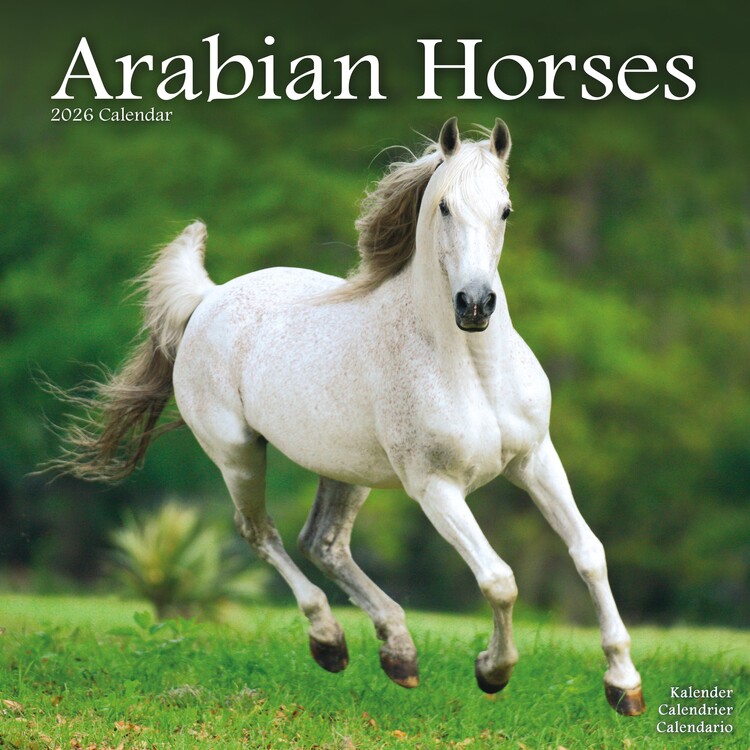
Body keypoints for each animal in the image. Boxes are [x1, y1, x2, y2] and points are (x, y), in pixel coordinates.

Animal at [54, 117, 645, 715]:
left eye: (505, 210)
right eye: (445, 207)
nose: (475, 304)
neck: (473, 371)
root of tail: (209, 297)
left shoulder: (536, 459)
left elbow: (589, 554)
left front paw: (624, 684)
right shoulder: (435, 487)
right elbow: (499, 580)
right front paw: (492, 671)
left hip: (345, 470)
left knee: (324, 542)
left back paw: (398, 654)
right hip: (239, 456)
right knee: (261, 532)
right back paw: (330, 642)